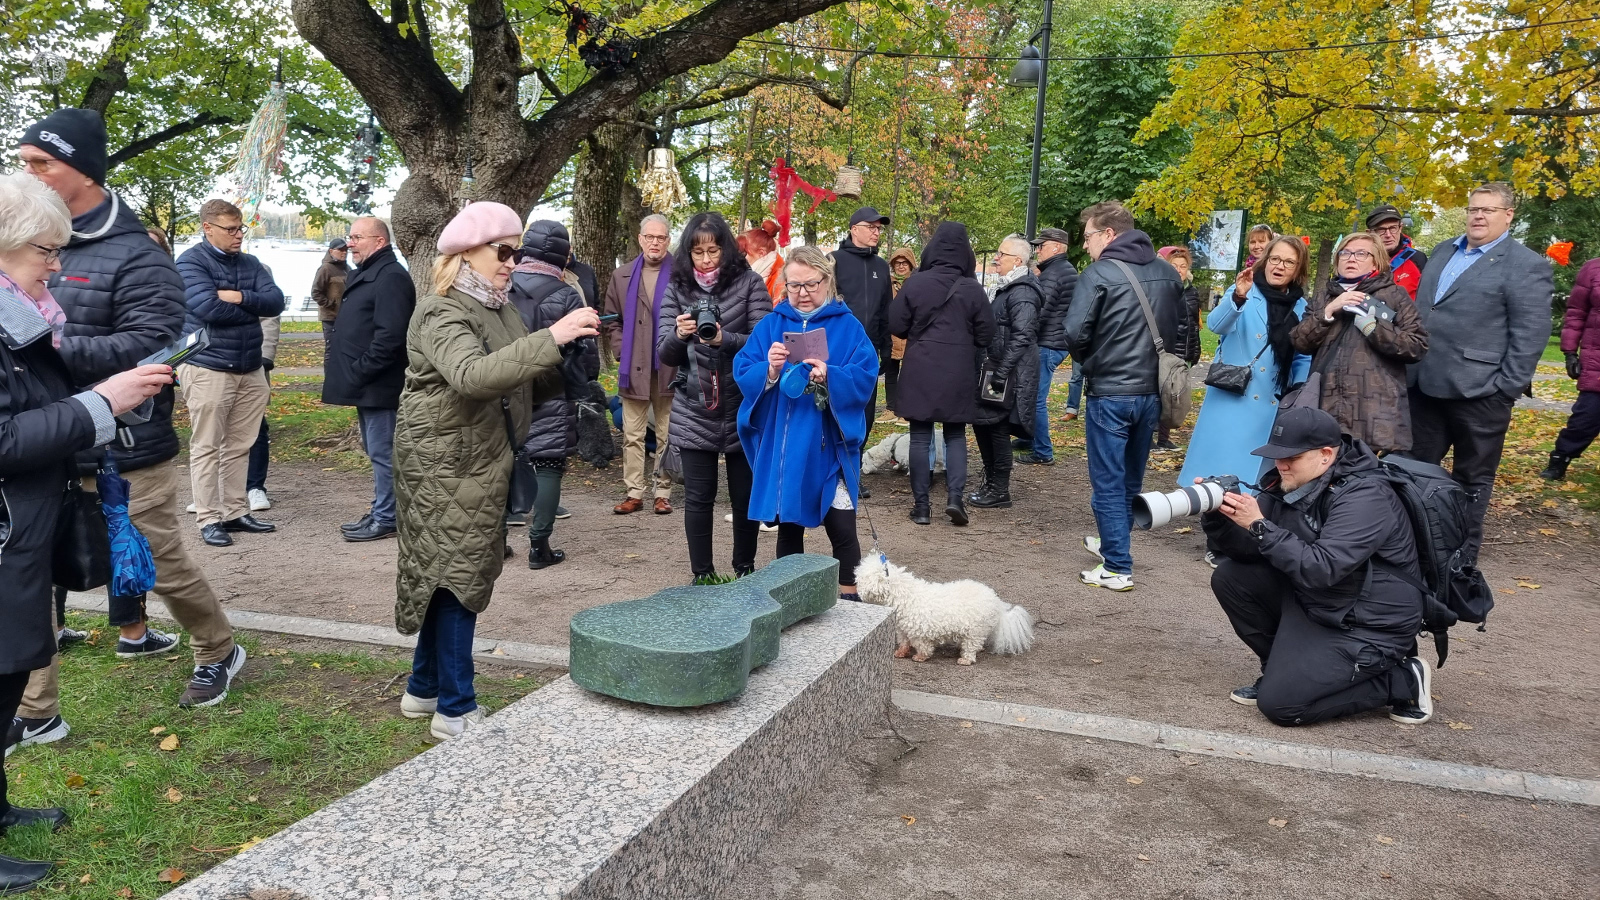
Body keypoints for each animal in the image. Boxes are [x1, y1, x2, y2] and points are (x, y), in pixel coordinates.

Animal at [851, 550, 1036, 662]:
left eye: (861, 578)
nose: (856, 587)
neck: (903, 595)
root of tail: (996, 602)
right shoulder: (902, 629)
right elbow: (904, 642)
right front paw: (901, 653)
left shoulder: (919, 632)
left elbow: (923, 646)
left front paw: (920, 657)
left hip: (975, 630)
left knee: (971, 646)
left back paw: (965, 659)